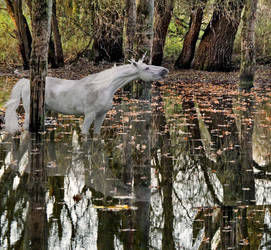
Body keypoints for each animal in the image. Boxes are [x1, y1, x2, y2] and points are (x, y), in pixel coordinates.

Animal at [5, 59, 169, 135]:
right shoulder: (89, 115)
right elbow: (84, 134)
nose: (165, 70)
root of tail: (26, 81)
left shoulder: (101, 115)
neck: (103, 87)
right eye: (146, 68)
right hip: (28, 112)